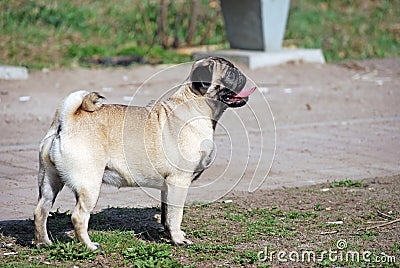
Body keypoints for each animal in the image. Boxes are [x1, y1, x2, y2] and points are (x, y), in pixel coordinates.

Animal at [36, 57, 258, 251]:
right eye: (230, 74)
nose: (242, 74)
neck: (195, 103)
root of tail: (67, 120)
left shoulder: (168, 187)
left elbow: (167, 215)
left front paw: (171, 236)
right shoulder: (179, 181)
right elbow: (176, 214)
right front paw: (178, 240)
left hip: (49, 181)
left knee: (41, 211)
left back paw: (44, 243)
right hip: (89, 184)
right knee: (78, 217)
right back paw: (89, 246)